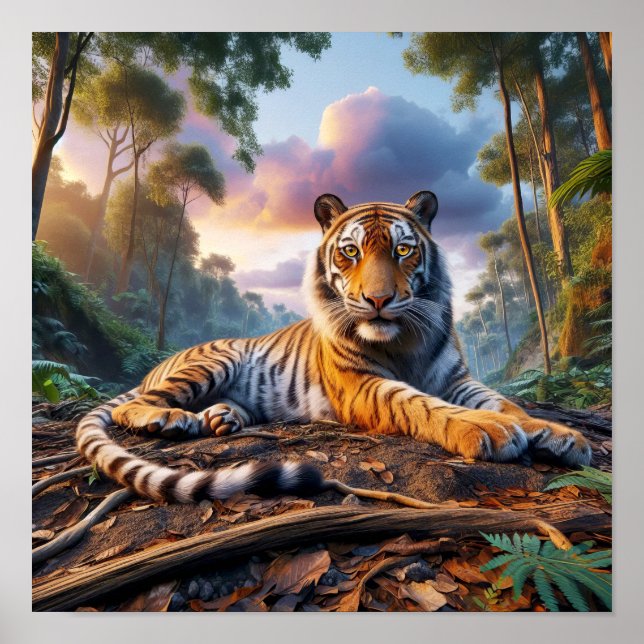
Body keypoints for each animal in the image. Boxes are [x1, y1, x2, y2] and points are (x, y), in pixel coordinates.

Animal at [76, 190, 592, 503]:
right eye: (350, 251)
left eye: (403, 250)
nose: (379, 300)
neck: (406, 340)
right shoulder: (363, 385)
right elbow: (423, 405)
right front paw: (488, 430)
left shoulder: (456, 378)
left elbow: (506, 402)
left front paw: (559, 434)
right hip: (212, 361)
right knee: (133, 406)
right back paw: (170, 419)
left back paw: (221, 419)